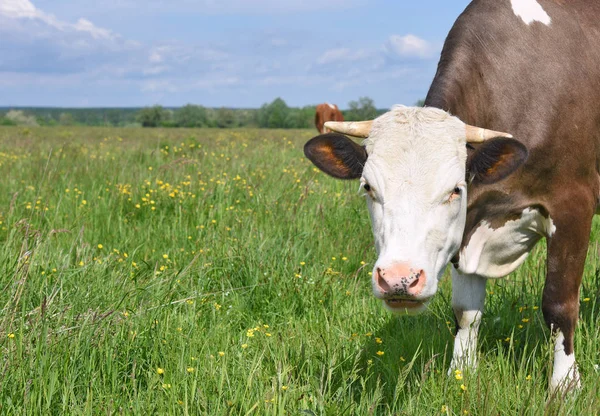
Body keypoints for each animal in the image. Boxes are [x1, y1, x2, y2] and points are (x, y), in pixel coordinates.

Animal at [304, 0, 600, 394]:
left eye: (454, 189)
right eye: (368, 187)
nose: (398, 279)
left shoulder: (572, 205)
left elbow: (559, 305)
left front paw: (565, 386)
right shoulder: (468, 225)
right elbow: (465, 310)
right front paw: (460, 374)